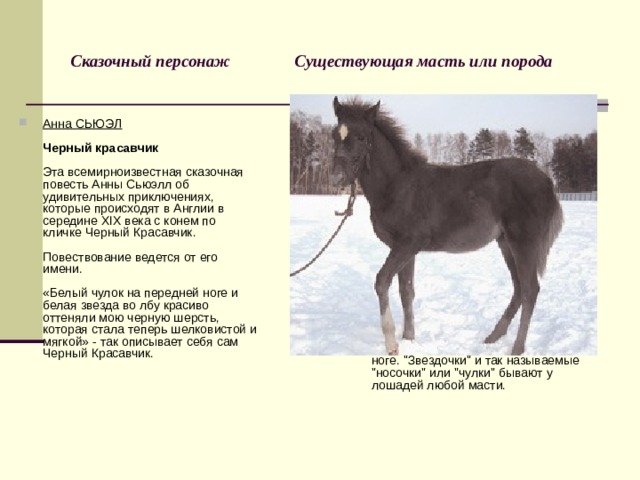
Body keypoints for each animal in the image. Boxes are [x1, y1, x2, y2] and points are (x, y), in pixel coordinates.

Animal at [331, 97, 563, 355]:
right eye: (334, 135)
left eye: (362, 137)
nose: (337, 179)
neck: (397, 186)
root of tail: (548, 182)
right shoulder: (403, 249)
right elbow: (406, 291)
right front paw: (409, 338)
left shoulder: (408, 244)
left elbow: (382, 282)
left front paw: (392, 345)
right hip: (505, 243)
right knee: (519, 288)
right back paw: (493, 336)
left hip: (524, 243)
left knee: (530, 289)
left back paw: (517, 349)